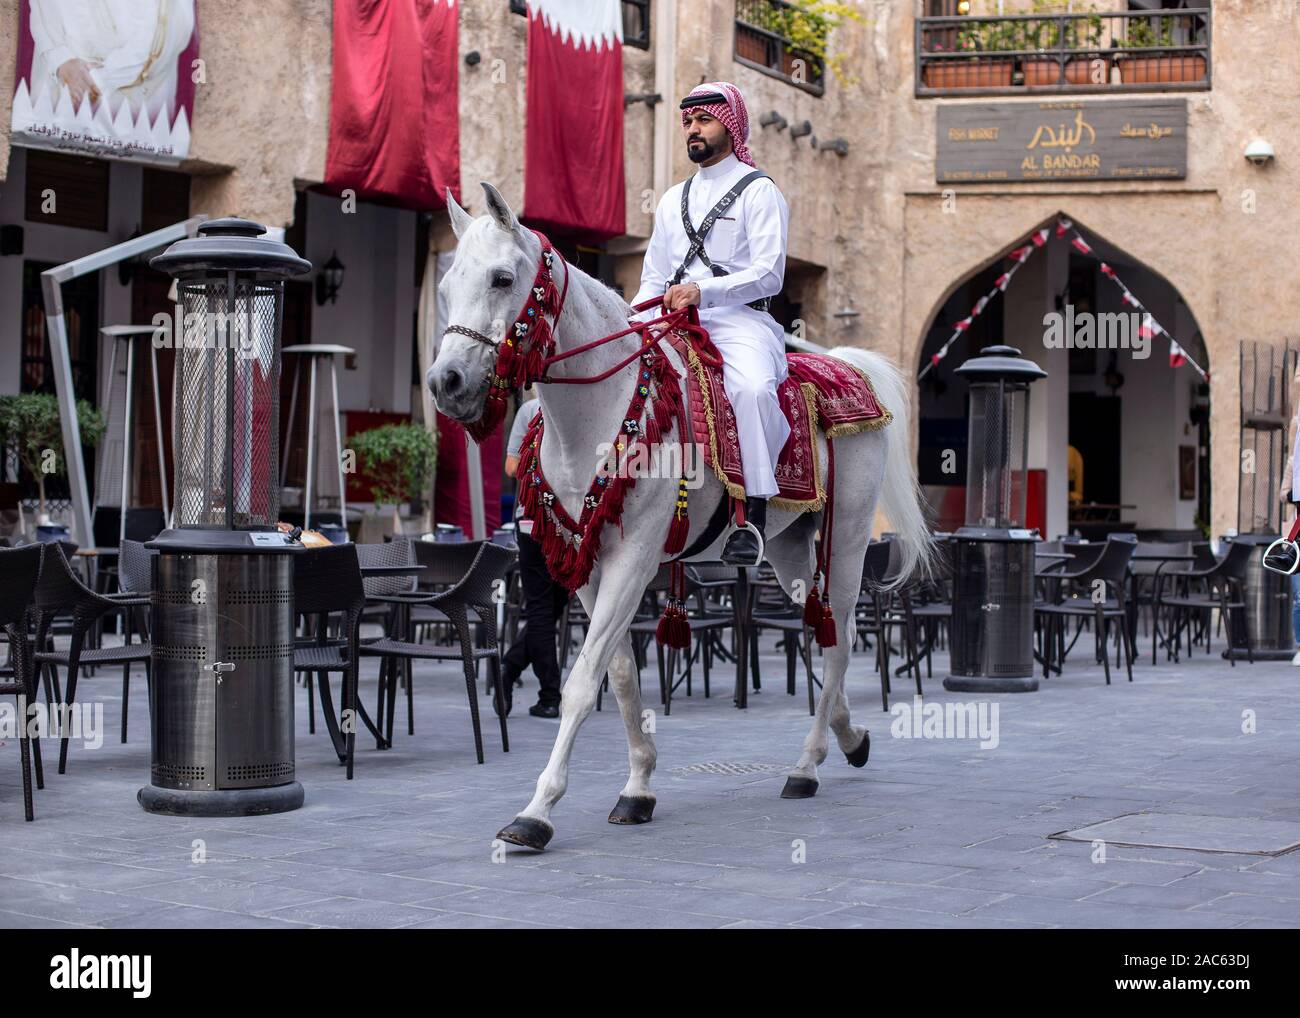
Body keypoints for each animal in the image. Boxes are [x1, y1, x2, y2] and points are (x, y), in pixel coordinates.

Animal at [434, 183, 935, 852]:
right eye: (446, 284)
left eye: (502, 278)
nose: (445, 381)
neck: (607, 409)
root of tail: (844, 366)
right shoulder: (591, 563)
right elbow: (620, 673)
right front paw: (638, 787)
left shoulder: (634, 557)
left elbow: (581, 682)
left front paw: (537, 811)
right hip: (791, 547)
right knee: (822, 628)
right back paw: (848, 738)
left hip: (849, 539)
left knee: (840, 640)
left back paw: (806, 766)